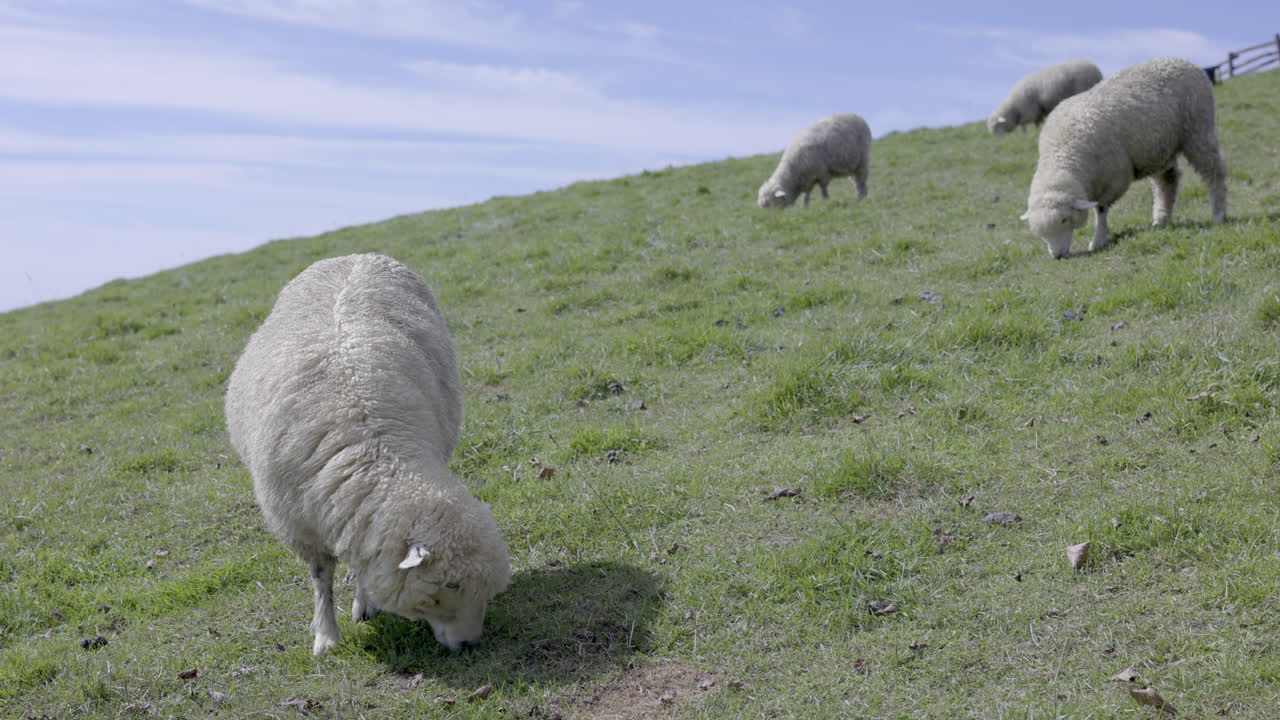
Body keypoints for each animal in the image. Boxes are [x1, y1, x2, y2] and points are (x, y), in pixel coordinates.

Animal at [225, 253, 511, 656]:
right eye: (450, 585)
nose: (470, 644)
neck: (370, 451)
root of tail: (354, 256)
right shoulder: (300, 526)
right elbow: (321, 578)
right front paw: (326, 636)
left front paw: (364, 603)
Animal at [1020, 57, 1227, 259]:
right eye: (1039, 232)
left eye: (1064, 219)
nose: (1057, 256)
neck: (1062, 151)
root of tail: (1184, 61)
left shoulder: (1114, 178)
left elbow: (1101, 209)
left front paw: (1098, 239)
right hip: (1157, 149)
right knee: (1167, 181)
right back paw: (1161, 219)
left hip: (1198, 129)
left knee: (1214, 172)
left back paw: (1219, 214)